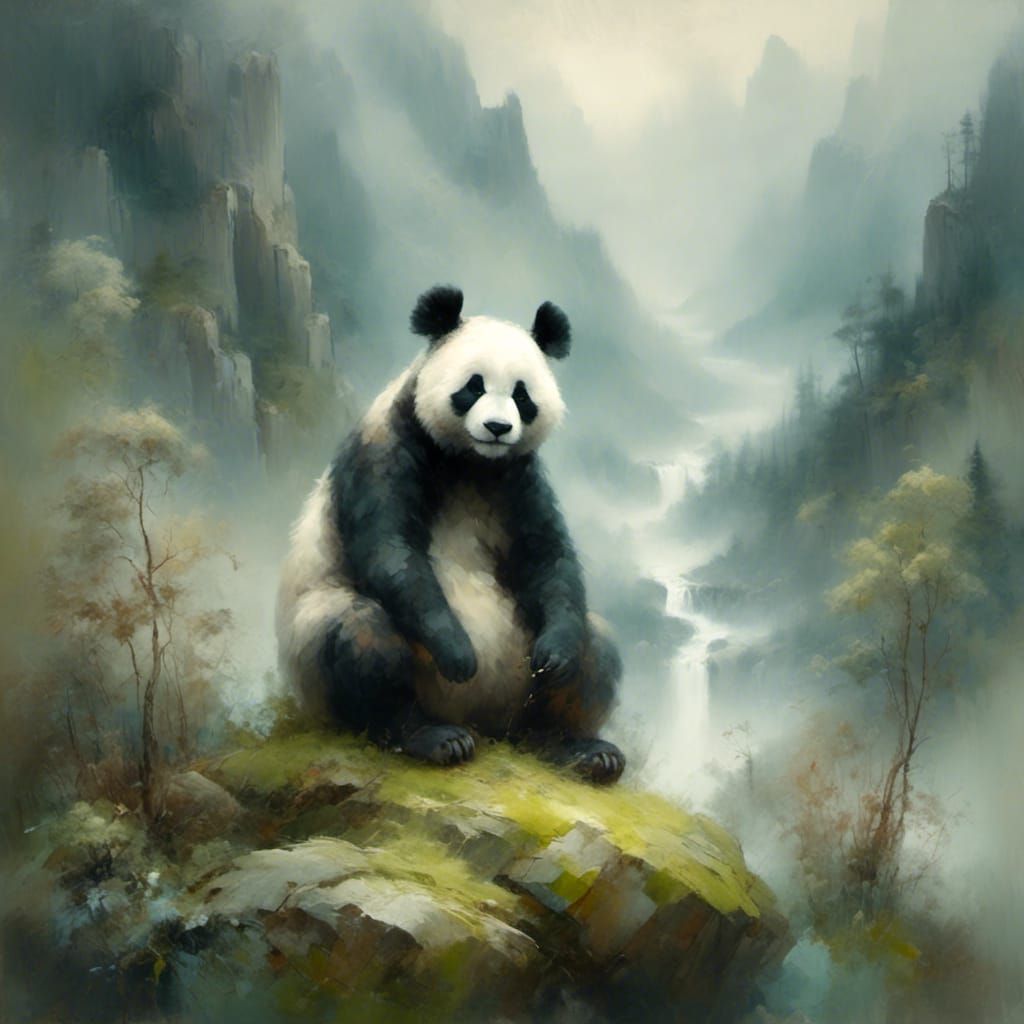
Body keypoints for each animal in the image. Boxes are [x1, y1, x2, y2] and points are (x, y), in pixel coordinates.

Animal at [276, 285, 625, 783]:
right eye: (473, 386)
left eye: (522, 395)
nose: (498, 428)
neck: (469, 461)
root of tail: (487, 722)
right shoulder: (384, 451)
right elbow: (392, 551)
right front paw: (458, 652)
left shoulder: (519, 477)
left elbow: (546, 555)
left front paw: (555, 657)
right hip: (319, 666)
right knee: (359, 636)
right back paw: (433, 739)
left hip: (523, 675)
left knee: (594, 646)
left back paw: (577, 749)